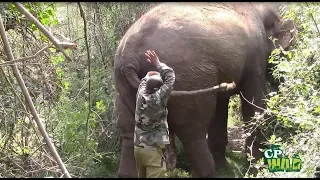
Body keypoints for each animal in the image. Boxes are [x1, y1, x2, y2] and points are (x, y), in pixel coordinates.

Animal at [113, 2, 296, 178]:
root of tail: (130, 55)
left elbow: (221, 106)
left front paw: (225, 167)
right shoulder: (255, 56)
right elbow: (253, 104)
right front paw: (255, 171)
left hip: (123, 85)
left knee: (129, 131)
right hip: (188, 78)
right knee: (193, 133)